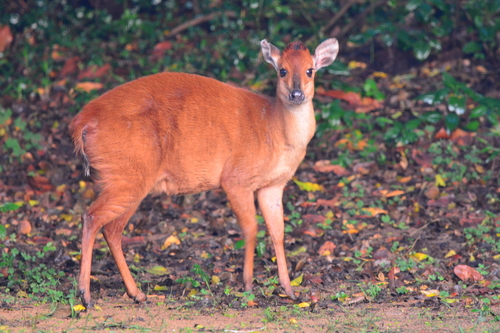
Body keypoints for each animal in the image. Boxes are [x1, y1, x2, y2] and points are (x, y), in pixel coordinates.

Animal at [70, 38, 340, 306]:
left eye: (310, 70)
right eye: (282, 70)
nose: (297, 94)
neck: (276, 130)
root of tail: (81, 124)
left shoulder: (272, 186)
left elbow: (278, 232)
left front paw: (289, 290)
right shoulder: (235, 179)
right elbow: (251, 229)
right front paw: (248, 285)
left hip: (124, 179)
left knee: (111, 230)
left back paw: (136, 293)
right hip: (126, 175)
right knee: (92, 217)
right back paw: (85, 295)